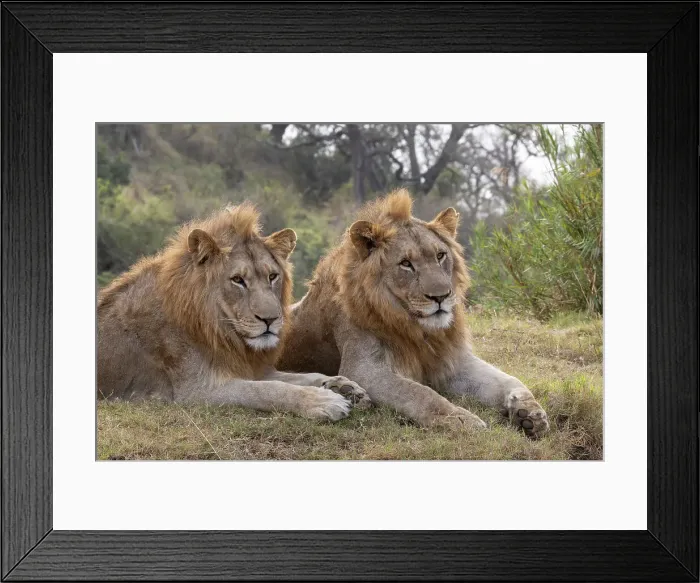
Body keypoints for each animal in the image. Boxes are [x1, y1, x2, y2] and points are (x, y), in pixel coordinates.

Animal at [97, 202, 371, 421]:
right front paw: (324, 401)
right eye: (238, 280)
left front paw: (343, 386)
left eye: (272, 276)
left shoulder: (250, 367)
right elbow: (268, 390)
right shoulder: (197, 391)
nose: (271, 319)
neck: (221, 331)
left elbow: (301, 376)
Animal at [276, 189, 549, 437]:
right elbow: (420, 393)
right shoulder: (364, 369)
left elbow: (509, 379)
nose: (441, 296)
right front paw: (461, 419)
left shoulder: (451, 360)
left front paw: (529, 412)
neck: (417, 329)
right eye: (406, 264)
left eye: (440, 255)